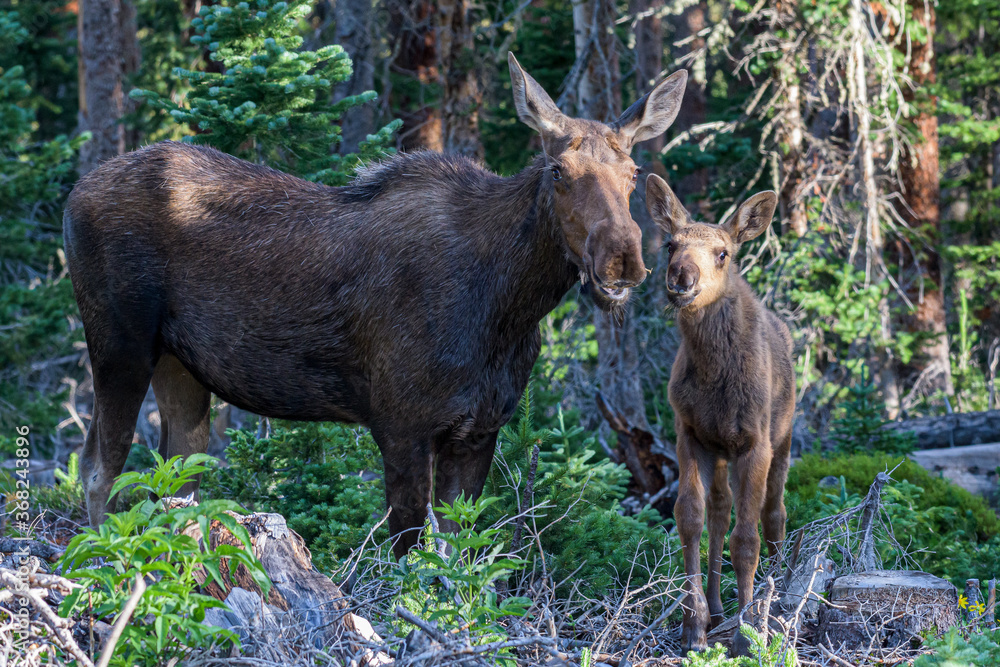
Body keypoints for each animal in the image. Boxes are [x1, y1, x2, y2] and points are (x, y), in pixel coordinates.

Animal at [63, 53, 688, 560]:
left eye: (634, 172)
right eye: (558, 171)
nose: (622, 259)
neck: (508, 309)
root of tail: (73, 192)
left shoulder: (479, 429)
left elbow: (457, 552)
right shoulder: (400, 422)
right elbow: (408, 550)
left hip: (182, 367)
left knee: (177, 479)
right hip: (118, 343)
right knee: (98, 467)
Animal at [643, 174, 795, 655]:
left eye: (723, 252)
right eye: (670, 245)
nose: (681, 277)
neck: (714, 373)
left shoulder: (754, 442)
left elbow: (746, 539)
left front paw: (748, 634)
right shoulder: (689, 434)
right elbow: (690, 518)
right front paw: (693, 625)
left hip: (783, 440)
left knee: (774, 513)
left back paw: (775, 594)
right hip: (720, 450)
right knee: (719, 513)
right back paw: (717, 607)